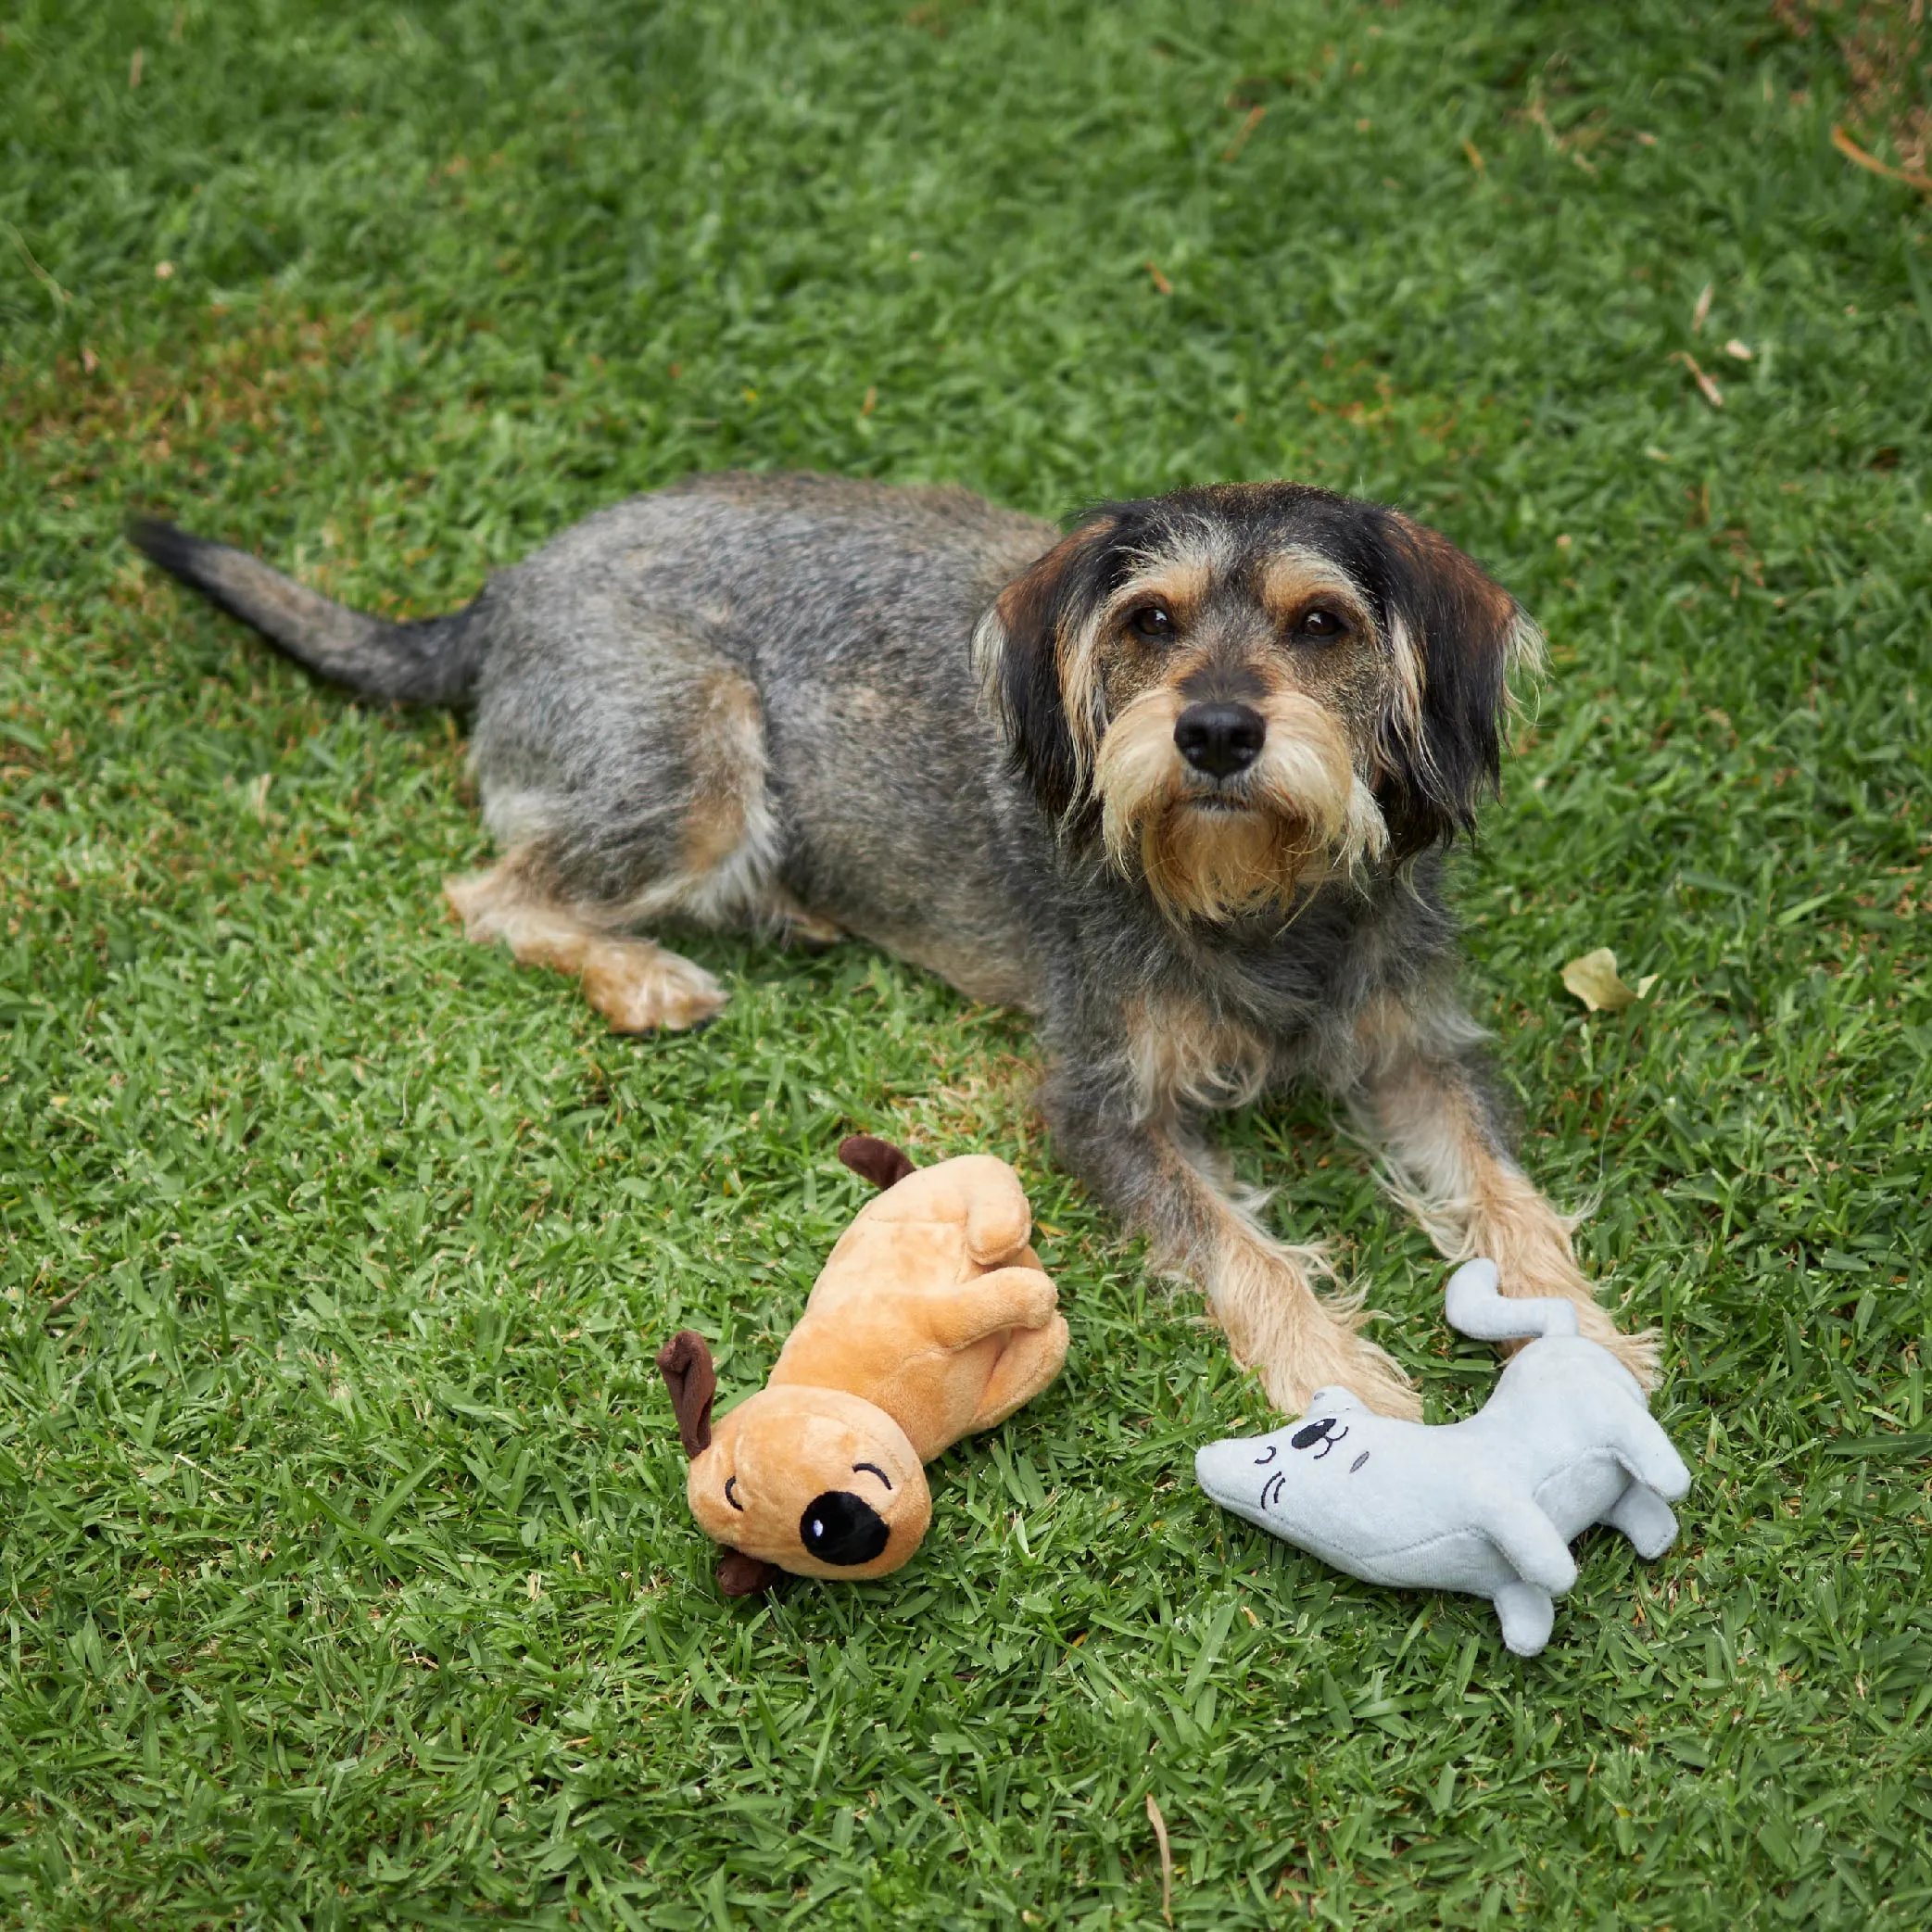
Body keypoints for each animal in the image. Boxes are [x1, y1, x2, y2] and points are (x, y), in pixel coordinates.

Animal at [132, 473, 1661, 1414]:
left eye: (1323, 622)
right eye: (1151, 619)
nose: (1216, 730)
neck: (1261, 900)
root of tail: (505, 592)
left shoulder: (1413, 1049)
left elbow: (1505, 1192)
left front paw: (1586, 1334)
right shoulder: (1102, 1106)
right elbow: (1243, 1249)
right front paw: (1341, 1378)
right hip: (692, 762)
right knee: (493, 891)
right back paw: (648, 976)